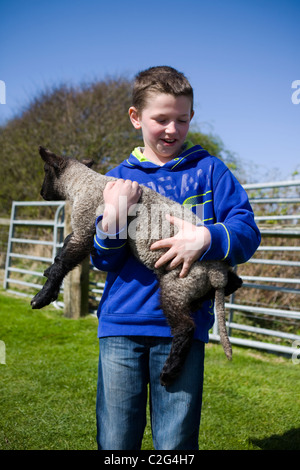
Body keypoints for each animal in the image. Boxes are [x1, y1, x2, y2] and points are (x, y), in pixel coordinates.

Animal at [31, 147, 241, 386]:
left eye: (46, 170)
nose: (41, 193)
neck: (83, 183)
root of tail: (217, 275)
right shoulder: (87, 229)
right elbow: (65, 246)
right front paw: (47, 278)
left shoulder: (84, 226)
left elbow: (64, 260)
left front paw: (43, 296)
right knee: (236, 282)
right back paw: (201, 301)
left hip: (176, 285)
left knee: (185, 328)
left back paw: (169, 372)